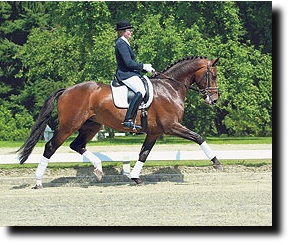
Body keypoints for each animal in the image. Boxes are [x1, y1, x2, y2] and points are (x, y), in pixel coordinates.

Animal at [17, 56, 222, 189]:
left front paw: (135, 177)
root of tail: (66, 90)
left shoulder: (154, 132)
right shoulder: (171, 126)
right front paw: (216, 162)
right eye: (213, 76)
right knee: (51, 147)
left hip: (92, 125)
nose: (213, 100)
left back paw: (99, 169)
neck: (170, 88)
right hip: (69, 126)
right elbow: (198, 137)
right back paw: (38, 182)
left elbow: (143, 154)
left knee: (77, 145)